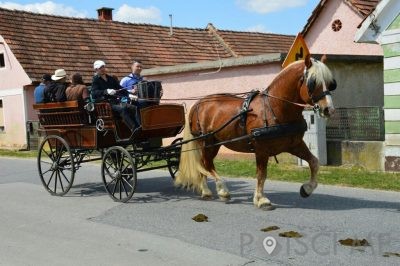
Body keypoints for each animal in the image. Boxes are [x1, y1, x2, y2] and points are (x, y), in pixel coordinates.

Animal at [175, 56, 338, 209]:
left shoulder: (295, 144)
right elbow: (261, 174)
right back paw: (221, 190)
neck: (274, 107)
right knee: (205, 164)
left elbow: (314, 162)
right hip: (206, 141)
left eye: (331, 83)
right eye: (313, 82)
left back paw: (207, 191)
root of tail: (198, 103)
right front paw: (261, 199)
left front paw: (307, 188)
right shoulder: (261, 149)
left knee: (203, 165)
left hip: (214, 143)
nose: (329, 110)